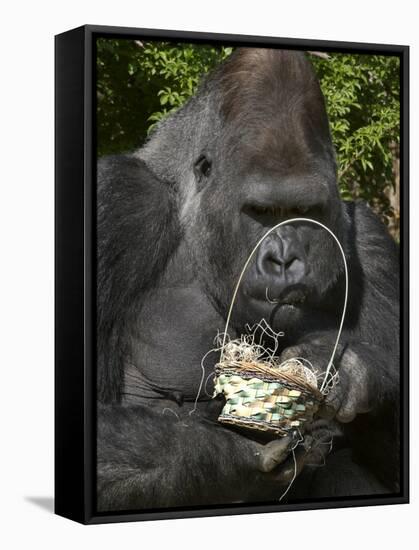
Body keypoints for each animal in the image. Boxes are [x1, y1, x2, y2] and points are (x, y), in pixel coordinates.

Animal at [96, 47, 400, 512]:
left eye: (305, 211)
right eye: (261, 211)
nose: (285, 259)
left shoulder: (371, 243)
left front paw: (354, 369)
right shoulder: (117, 202)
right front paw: (240, 455)